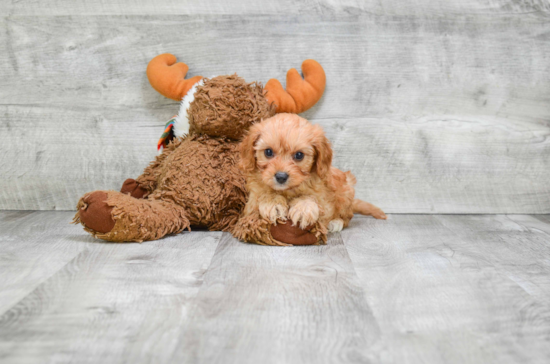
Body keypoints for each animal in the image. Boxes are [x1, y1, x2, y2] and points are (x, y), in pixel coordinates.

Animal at [239, 113, 386, 239]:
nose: (281, 176)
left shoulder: (324, 199)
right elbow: (264, 194)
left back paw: (336, 223)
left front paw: (303, 208)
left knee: (347, 216)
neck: (288, 191)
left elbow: (310, 198)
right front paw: (273, 203)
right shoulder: (251, 204)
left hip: (346, 191)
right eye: (268, 152)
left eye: (299, 155)